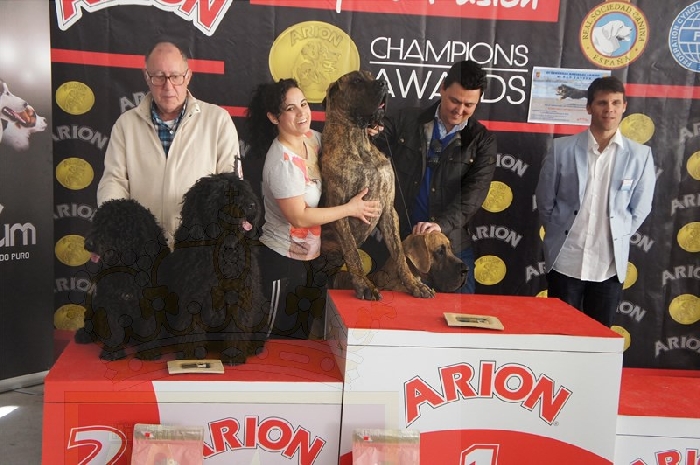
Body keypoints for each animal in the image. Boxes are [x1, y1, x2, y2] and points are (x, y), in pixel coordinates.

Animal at [75, 199, 171, 360]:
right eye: (96, 223)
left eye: (113, 225)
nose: (88, 244)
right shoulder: (110, 300)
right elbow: (114, 328)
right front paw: (113, 351)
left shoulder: (151, 301)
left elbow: (149, 326)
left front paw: (148, 352)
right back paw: (83, 335)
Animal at [161, 172, 269, 365]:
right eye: (226, 194)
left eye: (244, 190)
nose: (252, 205)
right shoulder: (193, 295)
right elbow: (191, 328)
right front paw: (192, 355)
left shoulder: (239, 296)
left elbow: (236, 328)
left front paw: (233, 354)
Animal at [320, 70, 434, 300]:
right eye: (356, 80)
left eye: (371, 76)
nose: (384, 83)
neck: (358, 141)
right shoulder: (340, 211)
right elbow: (352, 253)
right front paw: (364, 286)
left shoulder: (388, 209)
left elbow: (400, 255)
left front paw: (413, 284)